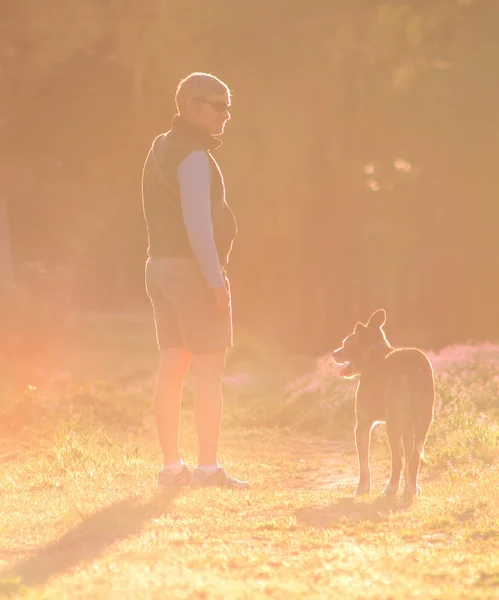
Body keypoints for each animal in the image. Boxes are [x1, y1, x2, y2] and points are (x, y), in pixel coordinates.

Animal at [334, 310, 436, 496]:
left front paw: (362, 489)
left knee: (397, 460)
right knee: (414, 458)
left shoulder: (362, 425)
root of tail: (414, 366)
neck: (372, 353)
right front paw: (411, 486)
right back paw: (411, 489)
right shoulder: (407, 426)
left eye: (345, 343)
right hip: (423, 421)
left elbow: (364, 464)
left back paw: (391, 488)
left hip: (393, 424)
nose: (333, 353)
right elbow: (409, 458)